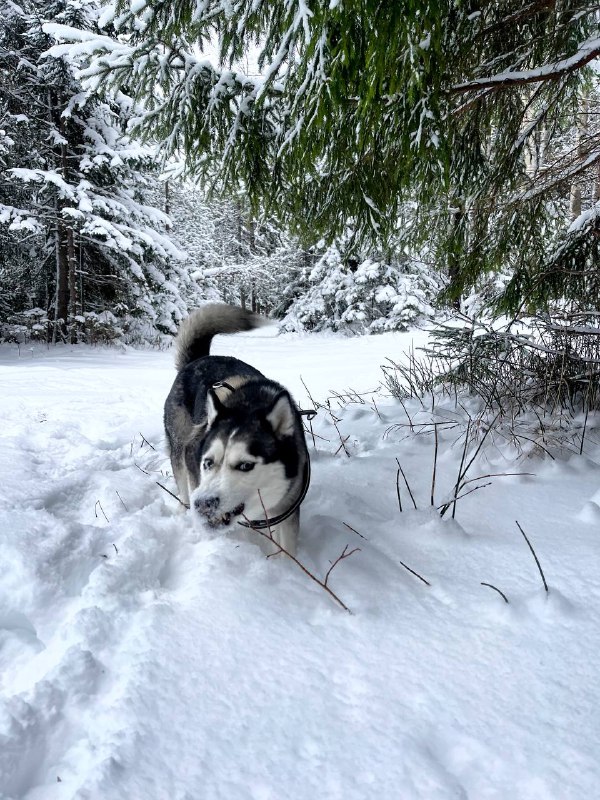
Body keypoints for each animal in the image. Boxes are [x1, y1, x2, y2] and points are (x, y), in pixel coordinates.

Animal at [164, 304, 310, 552]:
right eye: (208, 463)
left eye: (245, 465)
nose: (203, 504)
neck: (251, 405)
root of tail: (198, 360)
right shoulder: (194, 458)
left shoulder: (286, 506)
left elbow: (286, 547)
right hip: (179, 446)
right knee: (182, 485)